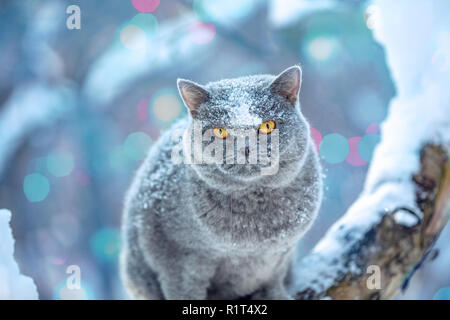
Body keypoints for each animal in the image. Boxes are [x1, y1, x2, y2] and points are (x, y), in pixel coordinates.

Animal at [119, 65, 324, 300]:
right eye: (220, 131)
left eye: (267, 126)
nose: (246, 148)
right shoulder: (176, 259)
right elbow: (185, 291)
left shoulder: (279, 256)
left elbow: (272, 282)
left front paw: (275, 295)